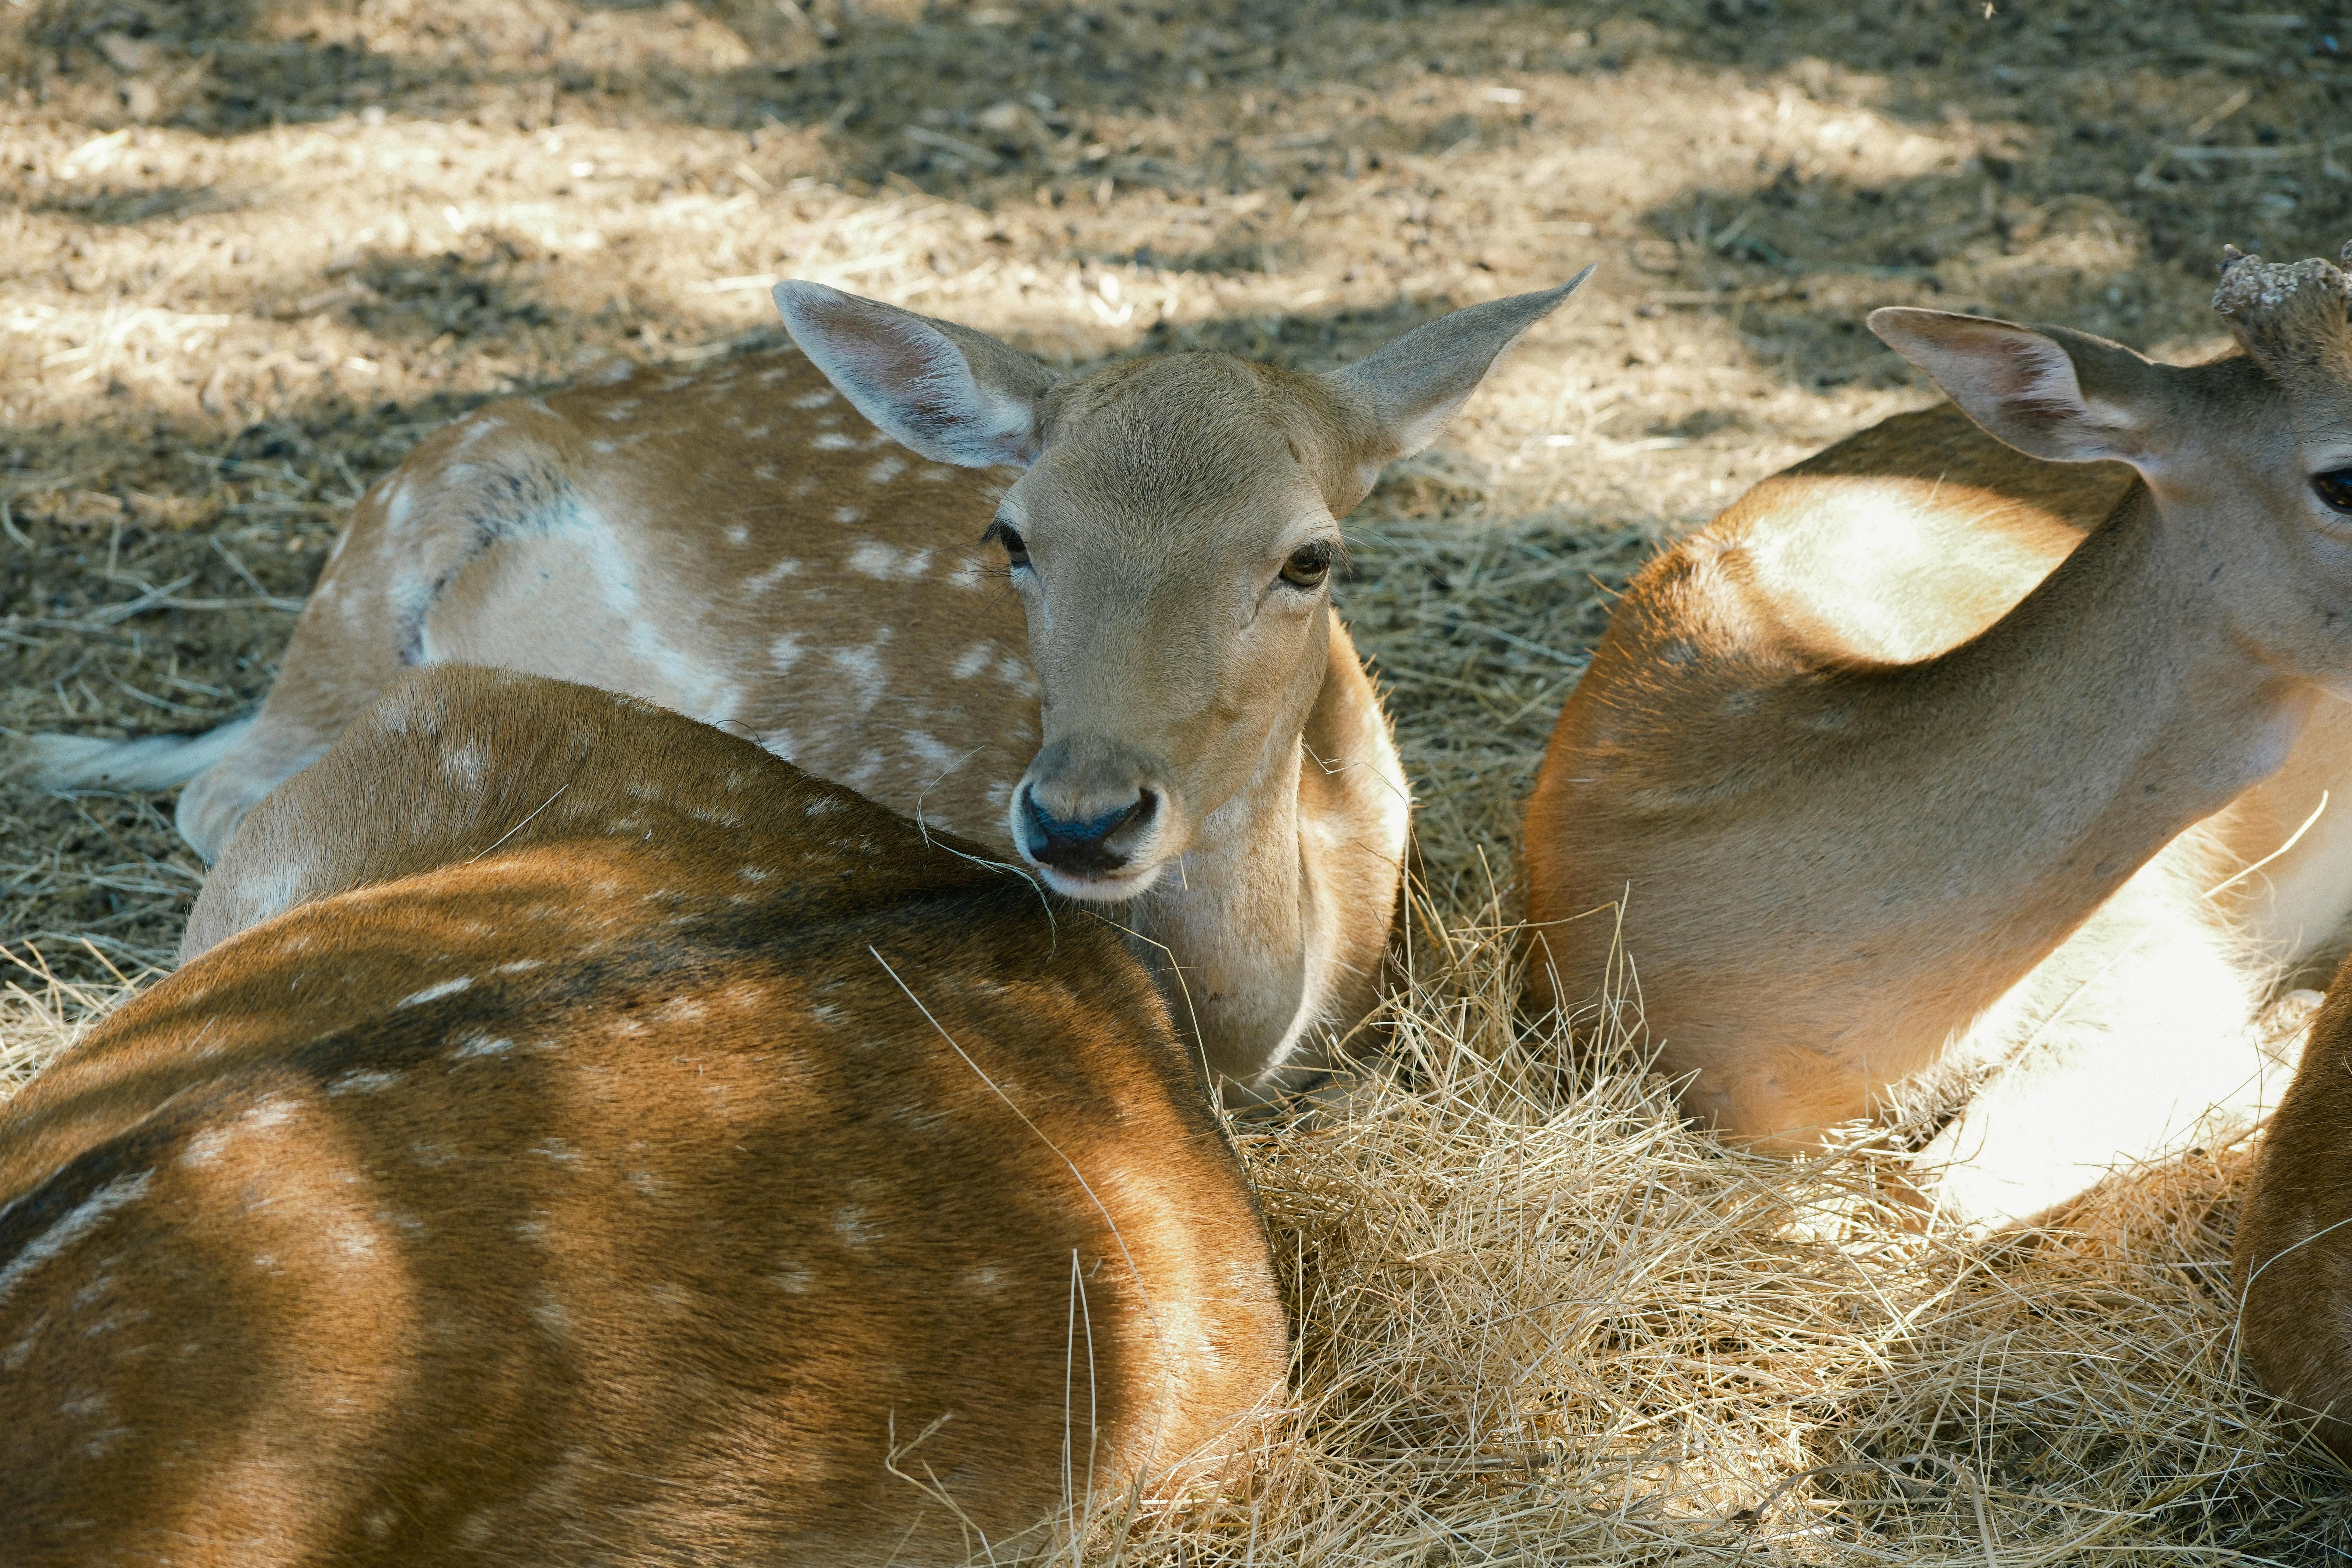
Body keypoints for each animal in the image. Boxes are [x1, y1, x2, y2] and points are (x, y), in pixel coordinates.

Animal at [23, 271, 1596, 1101]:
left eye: (1310, 556)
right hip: (388, 545)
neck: (1268, 1003)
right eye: (1012, 534)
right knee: (225, 786)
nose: (1081, 818)